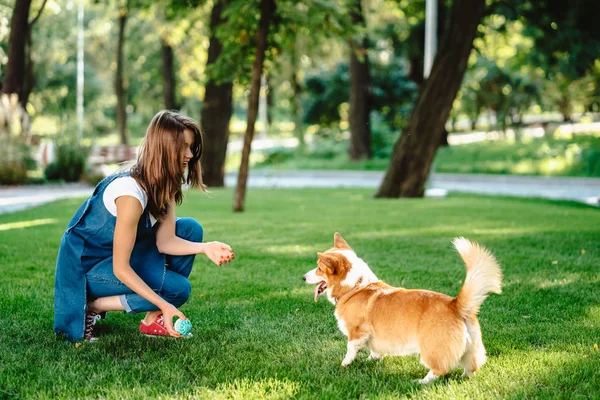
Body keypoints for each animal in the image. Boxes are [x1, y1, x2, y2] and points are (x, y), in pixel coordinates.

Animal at [302, 234, 504, 384]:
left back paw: (421, 382)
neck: (355, 286)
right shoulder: (376, 338)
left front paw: (344, 365)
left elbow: (351, 350)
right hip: (471, 348)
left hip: (431, 349)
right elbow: (375, 352)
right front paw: (369, 361)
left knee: (439, 369)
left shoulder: (357, 333)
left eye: (319, 268)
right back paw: (463, 378)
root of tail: (455, 304)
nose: (303, 277)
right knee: (472, 367)